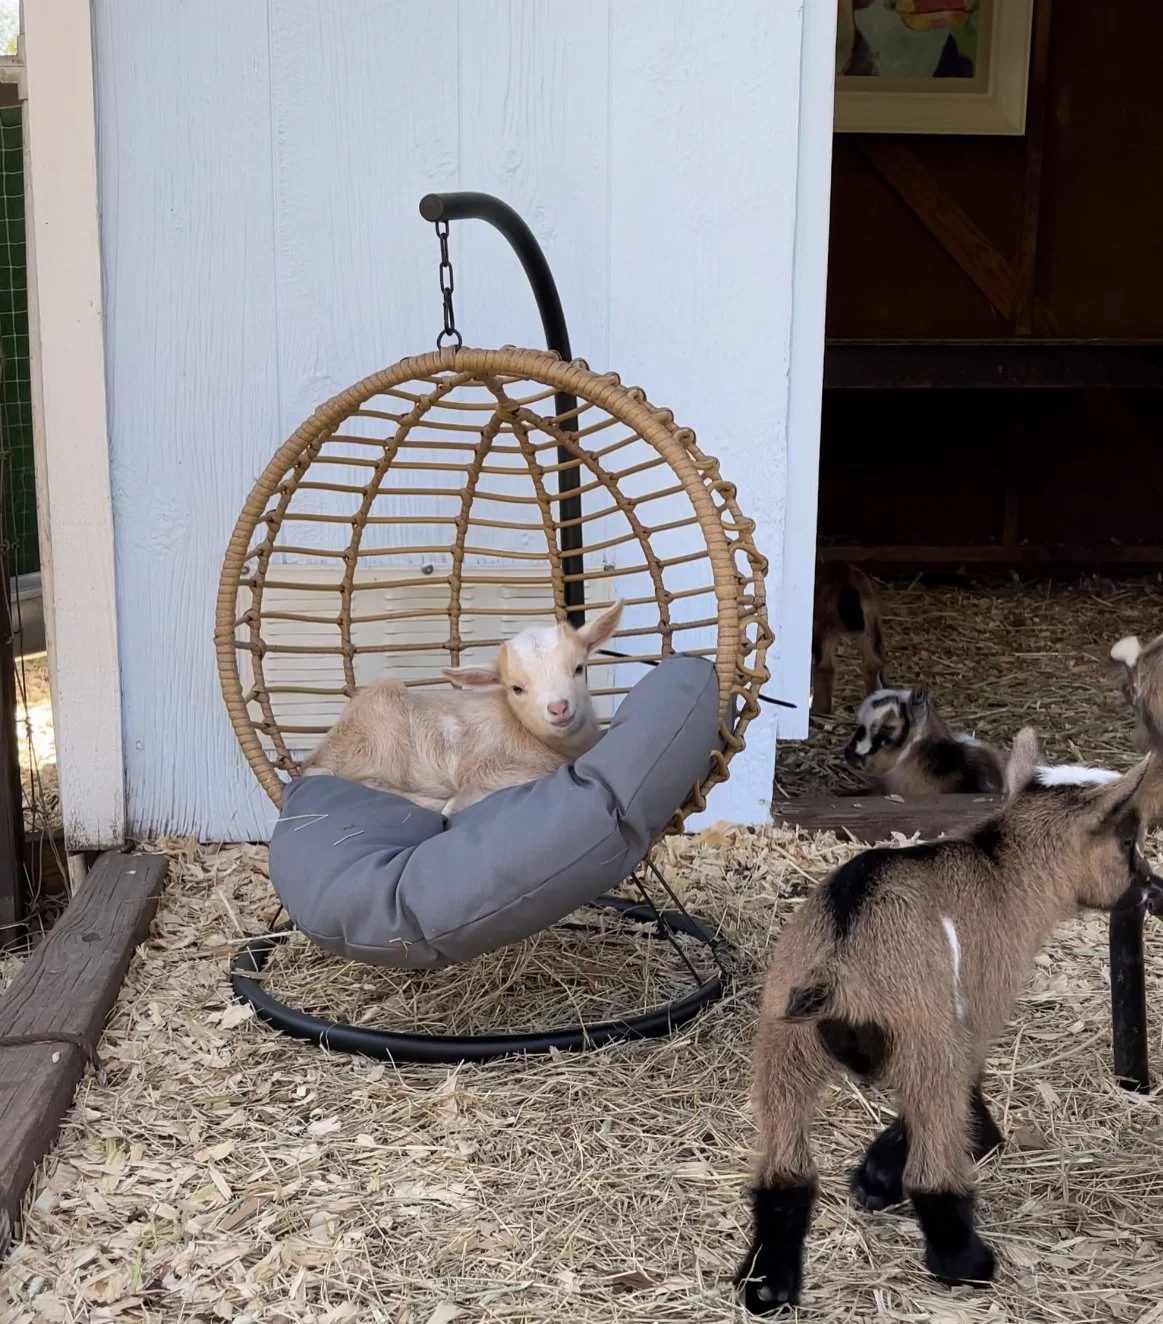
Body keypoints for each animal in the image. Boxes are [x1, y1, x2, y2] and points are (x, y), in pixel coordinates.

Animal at [302, 600, 623, 816]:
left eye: (579, 668)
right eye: (516, 688)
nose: (558, 708)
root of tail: (319, 753)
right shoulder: (486, 764)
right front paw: (456, 804)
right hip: (382, 729)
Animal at [735, 727, 1163, 1314]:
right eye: (1127, 841)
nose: (1151, 886)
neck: (1002, 868)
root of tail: (838, 965)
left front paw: (873, 1180)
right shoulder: (973, 1011)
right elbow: (962, 1088)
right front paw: (917, 1164)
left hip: (784, 1043)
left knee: (785, 1172)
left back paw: (768, 1286)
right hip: (918, 1035)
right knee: (932, 1165)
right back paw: (966, 1264)